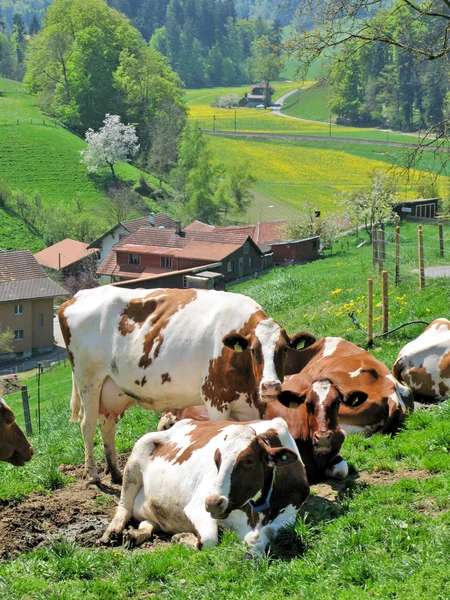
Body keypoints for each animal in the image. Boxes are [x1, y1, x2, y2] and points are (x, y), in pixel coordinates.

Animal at [59, 284, 306, 482]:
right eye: (253, 350)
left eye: (284, 349)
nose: (270, 386)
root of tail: (77, 296)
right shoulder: (215, 399)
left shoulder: (254, 403)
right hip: (88, 381)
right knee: (88, 426)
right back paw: (92, 474)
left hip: (111, 390)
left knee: (107, 426)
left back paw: (116, 473)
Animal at [100, 414, 310, 556]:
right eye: (216, 459)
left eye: (249, 460)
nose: (213, 503)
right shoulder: (196, 507)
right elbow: (209, 539)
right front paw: (183, 538)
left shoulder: (290, 513)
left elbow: (268, 532)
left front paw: (254, 552)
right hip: (136, 457)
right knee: (124, 507)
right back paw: (112, 532)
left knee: (148, 520)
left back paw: (137, 533)